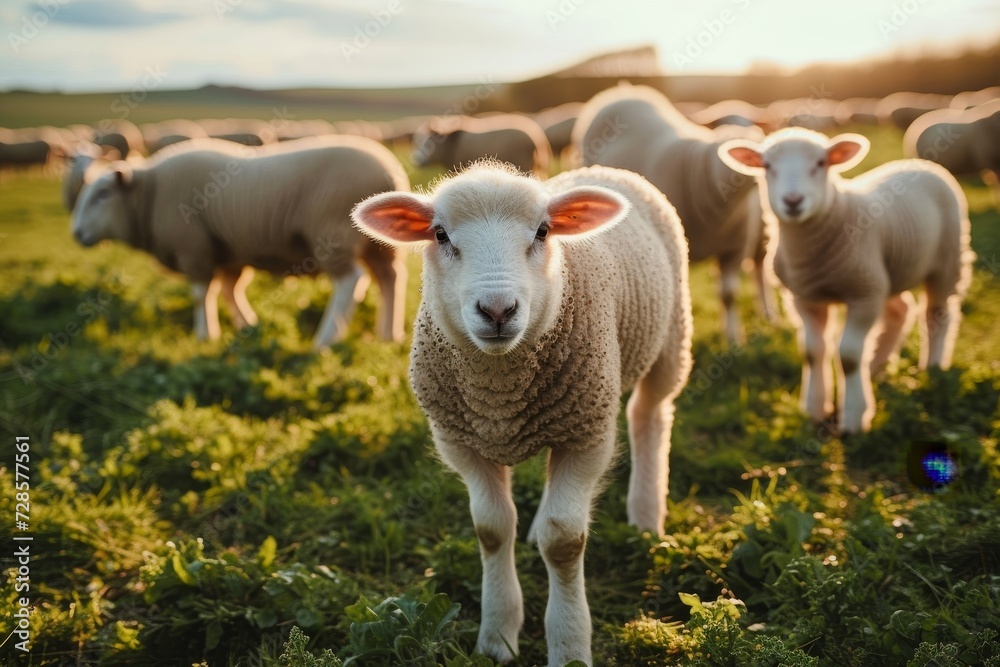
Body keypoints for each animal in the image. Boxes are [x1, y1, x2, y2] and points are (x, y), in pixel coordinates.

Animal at [71, 135, 410, 349]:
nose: (75, 233)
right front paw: (247, 325)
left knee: (351, 281)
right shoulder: (228, 253)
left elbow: (201, 294)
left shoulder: (193, 249)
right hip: (380, 244)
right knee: (390, 278)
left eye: (103, 194)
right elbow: (229, 289)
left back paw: (325, 340)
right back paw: (389, 335)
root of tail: (390, 173)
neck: (150, 196)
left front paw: (205, 335)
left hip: (333, 235)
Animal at [351, 161, 692, 666]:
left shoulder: (587, 434)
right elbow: (492, 529)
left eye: (543, 231)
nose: (497, 310)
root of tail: (601, 167)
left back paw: (647, 516)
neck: (500, 395)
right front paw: (497, 636)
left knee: (649, 416)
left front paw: (569, 645)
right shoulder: (461, 441)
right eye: (440, 234)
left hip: (670, 338)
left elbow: (565, 540)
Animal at [572, 84, 770, 342]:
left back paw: (769, 315)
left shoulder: (734, 248)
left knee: (759, 265)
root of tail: (621, 91)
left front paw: (733, 338)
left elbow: (729, 295)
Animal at [719, 128, 972, 433]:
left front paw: (853, 418)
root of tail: (921, 163)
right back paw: (875, 366)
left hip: (946, 261)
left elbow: (849, 357)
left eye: (821, 163)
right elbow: (812, 352)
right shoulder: (806, 298)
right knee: (901, 312)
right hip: (884, 276)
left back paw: (933, 369)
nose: (793, 201)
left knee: (937, 314)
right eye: (767, 166)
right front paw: (814, 409)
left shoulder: (863, 297)